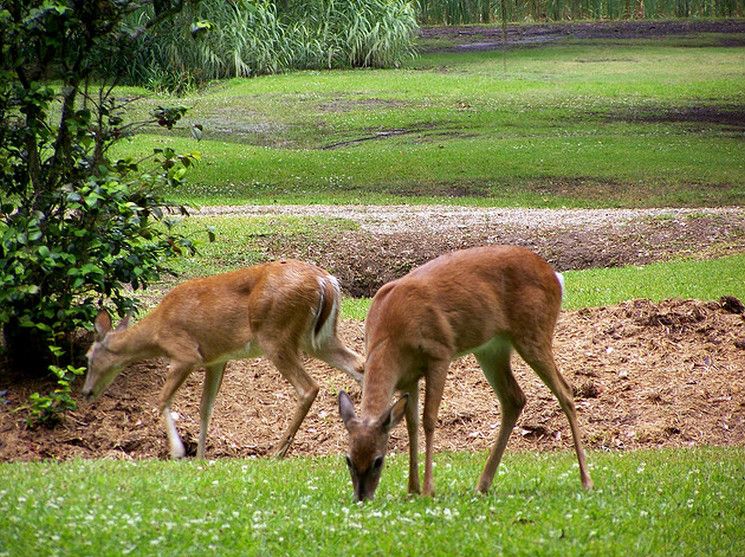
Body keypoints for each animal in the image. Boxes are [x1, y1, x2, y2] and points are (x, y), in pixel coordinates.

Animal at [81, 258, 364, 458]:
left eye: (88, 358)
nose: (85, 392)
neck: (156, 331)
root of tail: (326, 282)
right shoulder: (216, 360)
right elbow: (205, 408)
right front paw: (200, 458)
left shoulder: (185, 353)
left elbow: (162, 400)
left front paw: (178, 451)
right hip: (319, 338)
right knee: (359, 365)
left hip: (275, 334)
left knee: (308, 387)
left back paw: (277, 452)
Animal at [338, 245, 592, 502]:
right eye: (348, 460)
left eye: (378, 461)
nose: (361, 497)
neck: (392, 337)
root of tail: (555, 276)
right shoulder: (408, 378)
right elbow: (411, 425)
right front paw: (412, 489)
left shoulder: (440, 353)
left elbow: (428, 419)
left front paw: (428, 489)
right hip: (492, 348)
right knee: (514, 399)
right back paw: (483, 484)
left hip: (534, 332)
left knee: (565, 391)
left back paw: (586, 480)